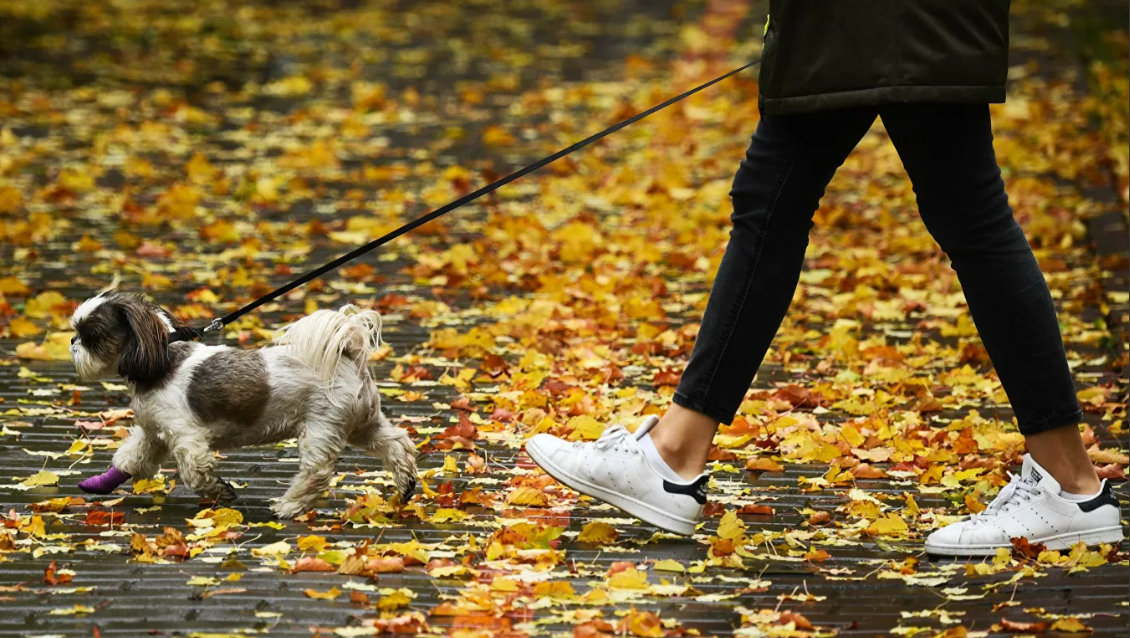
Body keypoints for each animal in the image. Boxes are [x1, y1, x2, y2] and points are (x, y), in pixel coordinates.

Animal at [68, 289, 418, 517]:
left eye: (91, 335)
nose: (72, 342)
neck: (160, 362)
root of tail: (349, 352)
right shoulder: (154, 432)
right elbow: (129, 459)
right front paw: (100, 483)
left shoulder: (186, 438)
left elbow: (195, 473)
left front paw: (221, 492)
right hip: (363, 423)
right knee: (397, 444)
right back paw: (406, 486)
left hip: (323, 426)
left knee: (317, 472)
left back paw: (289, 506)